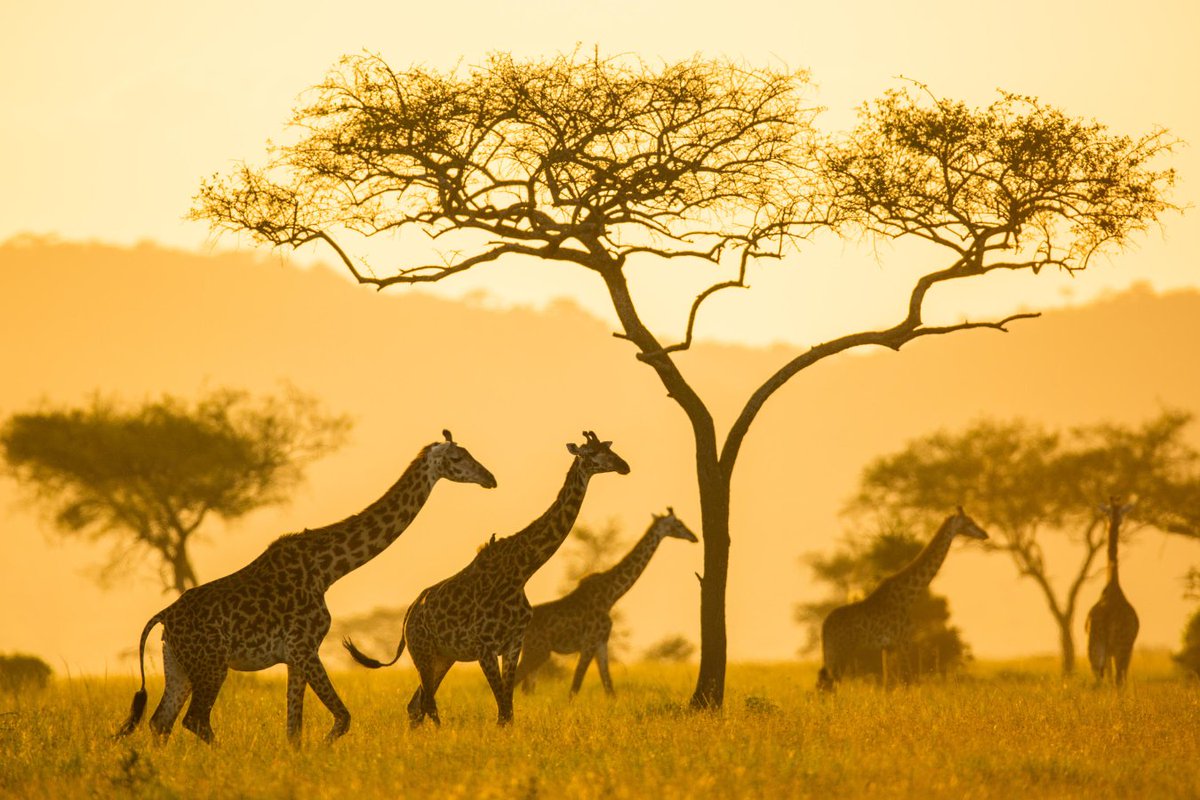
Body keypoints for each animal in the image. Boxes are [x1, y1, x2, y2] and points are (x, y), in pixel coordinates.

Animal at [109, 429, 492, 748]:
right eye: (457, 458)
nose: (491, 478)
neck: (326, 569)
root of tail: (164, 616)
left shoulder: (294, 656)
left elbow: (294, 728)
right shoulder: (306, 646)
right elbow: (342, 717)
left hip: (178, 664)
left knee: (160, 722)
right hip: (211, 664)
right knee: (195, 720)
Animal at [345, 431, 633, 724]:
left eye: (609, 449)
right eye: (592, 453)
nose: (624, 466)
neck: (522, 570)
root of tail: (409, 614)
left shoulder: (513, 644)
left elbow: (508, 711)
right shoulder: (485, 648)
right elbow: (502, 712)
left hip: (443, 657)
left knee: (416, 704)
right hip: (423, 652)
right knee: (425, 703)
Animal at [513, 510, 700, 695]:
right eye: (678, 524)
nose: (694, 537)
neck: (611, 595)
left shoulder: (601, 642)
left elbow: (609, 686)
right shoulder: (589, 642)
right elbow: (575, 686)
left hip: (535, 651)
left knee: (527, 687)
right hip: (538, 650)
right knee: (516, 680)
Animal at [816, 510, 993, 690]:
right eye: (969, 522)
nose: (985, 534)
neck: (908, 596)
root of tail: (824, 627)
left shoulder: (888, 647)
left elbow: (889, 683)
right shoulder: (904, 641)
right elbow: (908, 679)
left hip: (831, 652)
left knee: (824, 682)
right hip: (842, 650)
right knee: (830, 684)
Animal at [1084, 494, 1137, 690]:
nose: (1116, 522)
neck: (1113, 587)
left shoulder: (1105, 652)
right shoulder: (1127, 648)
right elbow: (1119, 680)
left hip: (1094, 647)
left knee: (1099, 680)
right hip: (1120, 648)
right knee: (1118, 680)